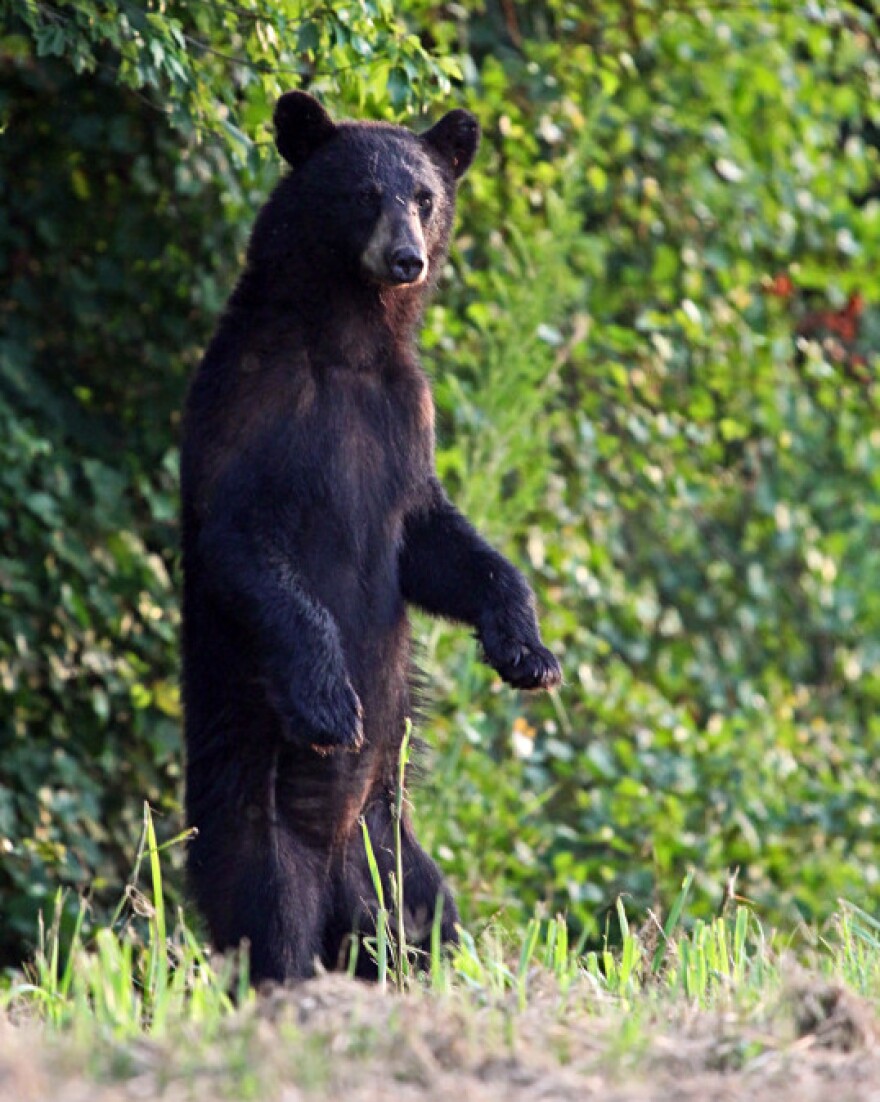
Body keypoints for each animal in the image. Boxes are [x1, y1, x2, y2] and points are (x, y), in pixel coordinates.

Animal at [181, 92, 561, 982]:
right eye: (362, 193)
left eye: (424, 195)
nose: (406, 258)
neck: (350, 344)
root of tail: (335, 885)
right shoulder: (253, 410)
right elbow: (247, 547)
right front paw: (329, 700)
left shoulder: (406, 421)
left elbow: (440, 545)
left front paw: (527, 651)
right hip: (257, 840)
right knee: (272, 931)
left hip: (394, 854)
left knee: (429, 919)